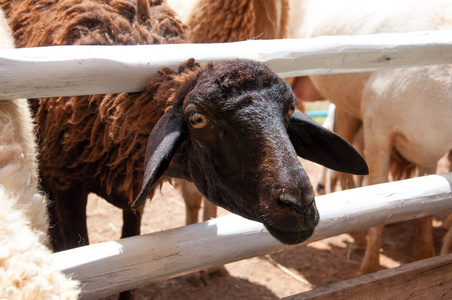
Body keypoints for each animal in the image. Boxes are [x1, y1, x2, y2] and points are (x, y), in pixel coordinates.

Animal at [290, 0, 452, 274]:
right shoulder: (378, 127)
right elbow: (379, 194)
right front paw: (370, 268)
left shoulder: (430, 151)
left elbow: (428, 206)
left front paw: (426, 255)